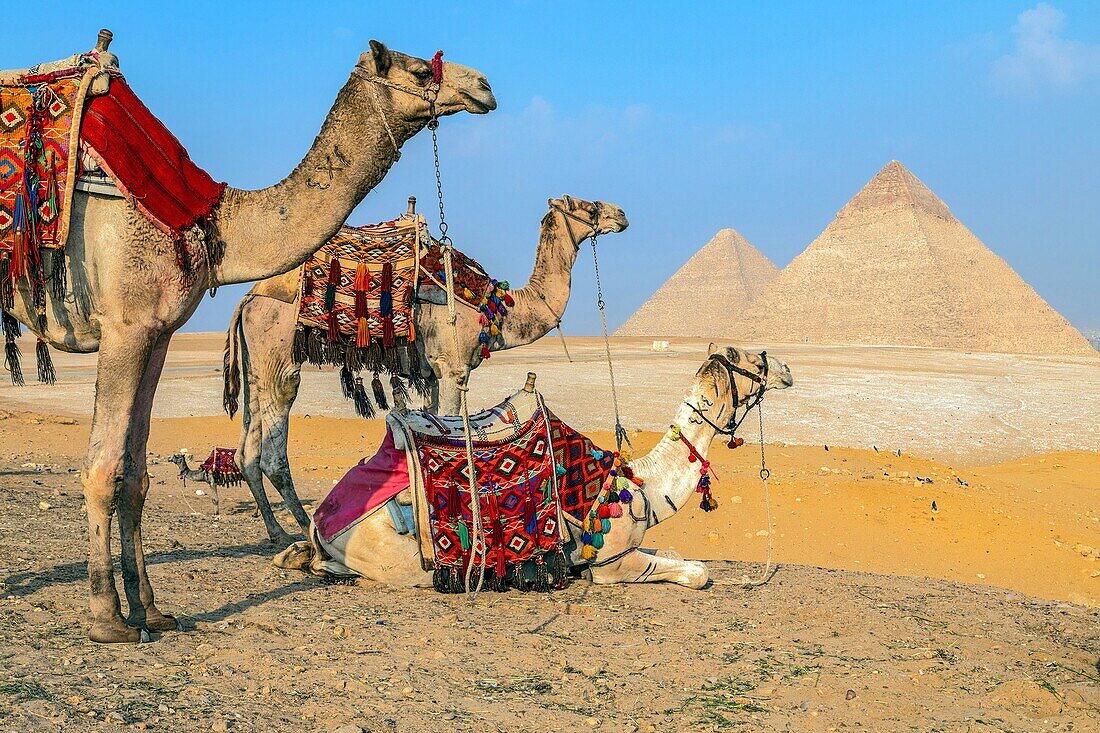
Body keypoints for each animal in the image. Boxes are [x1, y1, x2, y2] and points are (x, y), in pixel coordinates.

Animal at [0, 35, 497, 638]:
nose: (484, 86)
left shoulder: (158, 332)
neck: (211, 221)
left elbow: (136, 472)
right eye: (422, 69)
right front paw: (107, 617)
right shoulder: (124, 326)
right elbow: (104, 466)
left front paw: (151, 610)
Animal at [221, 193, 629, 541]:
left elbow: (430, 428)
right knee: (273, 451)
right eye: (586, 205)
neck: (499, 310)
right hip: (279, 358)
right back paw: (306, 530)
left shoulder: (432, 374)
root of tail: (247, 300)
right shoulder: (453, 367)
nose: (621, 214)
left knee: (247, 451)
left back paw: (277, 532)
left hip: (256, 363)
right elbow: (456, 434)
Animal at [272, 343, 792, 589]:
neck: (641, 488)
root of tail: (321, 519)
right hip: (397, 558)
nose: (784, 367)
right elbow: (697, 572)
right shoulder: (609, 564)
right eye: (750, 360)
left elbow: (679, 554)